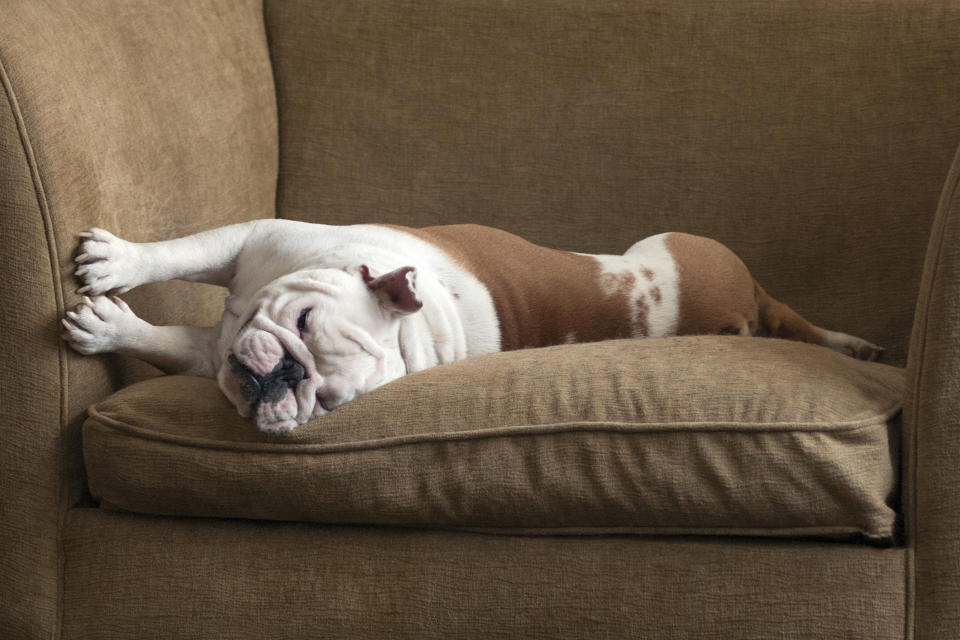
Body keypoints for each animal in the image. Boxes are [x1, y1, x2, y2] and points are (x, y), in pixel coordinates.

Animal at [62, 221, 884, 436]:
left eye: (327, 401)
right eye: (302, 319)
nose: (285, 373)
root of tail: (745, 300)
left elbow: (181, 340)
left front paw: (106, 318)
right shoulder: (248, 241)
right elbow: (184, 253)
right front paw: (118, 268)